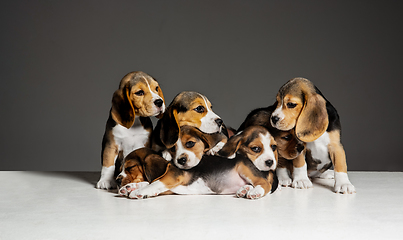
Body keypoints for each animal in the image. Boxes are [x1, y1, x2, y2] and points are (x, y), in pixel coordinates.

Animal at [118, 125, 280, 199]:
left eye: (130, 167)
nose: (118, 179)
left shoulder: (172, 177)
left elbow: (154, 183)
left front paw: (138, 191)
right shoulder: (170, 187)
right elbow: (149, 182)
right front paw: (130, 187)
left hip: (244, 168)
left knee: (264, 184)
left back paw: (255, 192)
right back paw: (244, 190)